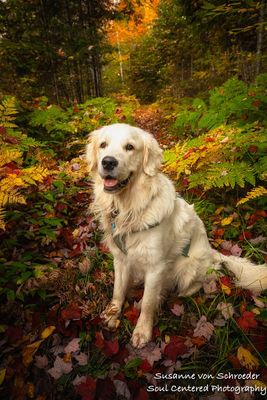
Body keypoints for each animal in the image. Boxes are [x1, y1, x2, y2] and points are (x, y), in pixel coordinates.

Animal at [87, 123, 267, 348]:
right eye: (103, 145)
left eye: (130, 147)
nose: (108, 162)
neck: (129, 208)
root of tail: (212, 252)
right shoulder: (120, 259)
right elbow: (118, 290)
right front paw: (113, 313)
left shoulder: (155, 266)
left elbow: (147, 303)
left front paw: (142, 332)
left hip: (189, 266)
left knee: (205, 279)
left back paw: (181, 291)